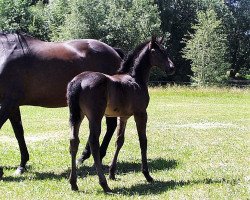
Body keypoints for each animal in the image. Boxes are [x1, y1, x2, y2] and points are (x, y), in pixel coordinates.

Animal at [0, 32, 123, 177]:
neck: (4, 53)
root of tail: (113, 51)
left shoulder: (8, 103)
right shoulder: (12, 105)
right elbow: (19, 132)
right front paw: (22, 165)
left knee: (110, 126)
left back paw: (91, 155)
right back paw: (85, 156)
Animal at [67, 36, 176, 192]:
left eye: (165, 50)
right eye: (158, 51)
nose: (172, 68)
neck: (134, 79)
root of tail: (78, 81)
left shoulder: (123, 116)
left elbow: (119, 141)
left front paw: (112, 173)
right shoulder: (141, 113)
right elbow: (143, 141)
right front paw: (147, 175)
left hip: (76, 116)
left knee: (73, 141)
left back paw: (73, 183)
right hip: (95, 117)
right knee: (93, 142)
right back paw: (103, 184)